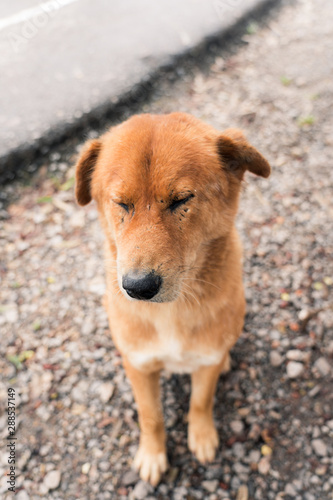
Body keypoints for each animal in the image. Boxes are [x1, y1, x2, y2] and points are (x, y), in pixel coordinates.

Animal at [74, 112, 270, 484]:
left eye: (182, 200)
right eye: (121, 203)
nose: (138, 287)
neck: (171, 312)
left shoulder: (206, 361)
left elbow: (200, 402)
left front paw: (202, 436)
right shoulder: (138, 365)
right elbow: (150, 417)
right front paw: (153, 455)